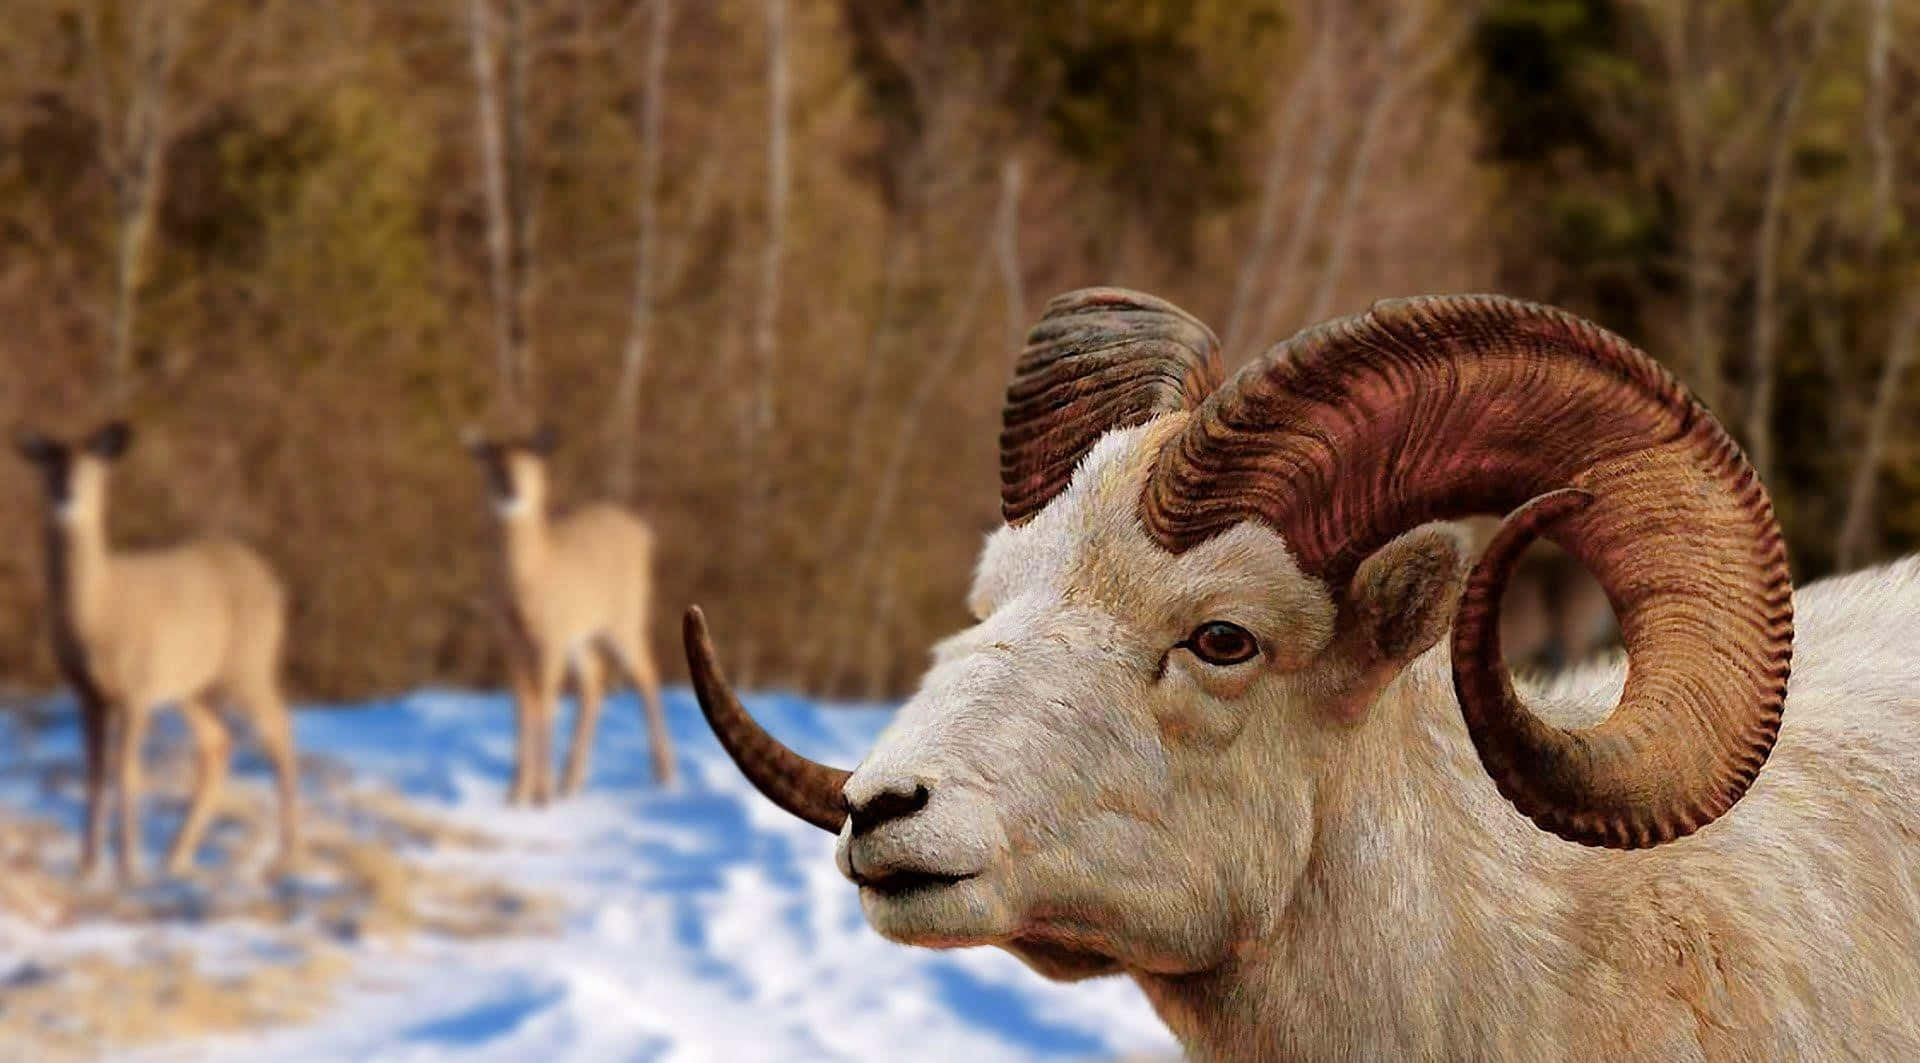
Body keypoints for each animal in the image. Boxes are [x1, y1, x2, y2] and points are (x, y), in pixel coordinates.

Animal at [12, 420, 300, 884]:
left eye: (93, 468)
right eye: (50, 466)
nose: (66, 496)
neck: (97, 613)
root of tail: (269, 578)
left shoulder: (137, 688)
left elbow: (128, 774)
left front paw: (128, 867)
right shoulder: (87, 693)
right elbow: (93, 773)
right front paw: (86, 866)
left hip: (250, 663)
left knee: (280, 729)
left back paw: (288, 855)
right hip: (194, 685)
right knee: (218, 742)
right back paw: (175, 856)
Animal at [464, 425, 676, 804]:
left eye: (530, 462)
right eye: (492, 464)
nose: (510, 489)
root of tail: (644, 532)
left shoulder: (553, 634)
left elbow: (545, 703)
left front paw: (540, 793)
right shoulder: (510, 639)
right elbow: (522, 707)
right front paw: (516, 792)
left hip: (626, 616)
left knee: (647, 673)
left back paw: (664, 774)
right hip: (583, 636)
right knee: (594, 681)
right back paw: (571, 780)